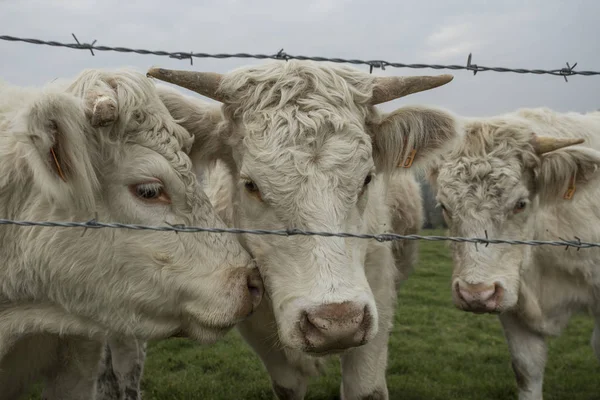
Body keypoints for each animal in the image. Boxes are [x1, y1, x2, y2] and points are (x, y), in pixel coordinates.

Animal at [138, 60, 460, 400]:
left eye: (367, 178)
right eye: (250, 185)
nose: (336, 322)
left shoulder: (378, 298)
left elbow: (365, 389)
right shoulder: (257, 326)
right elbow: (288, 386)